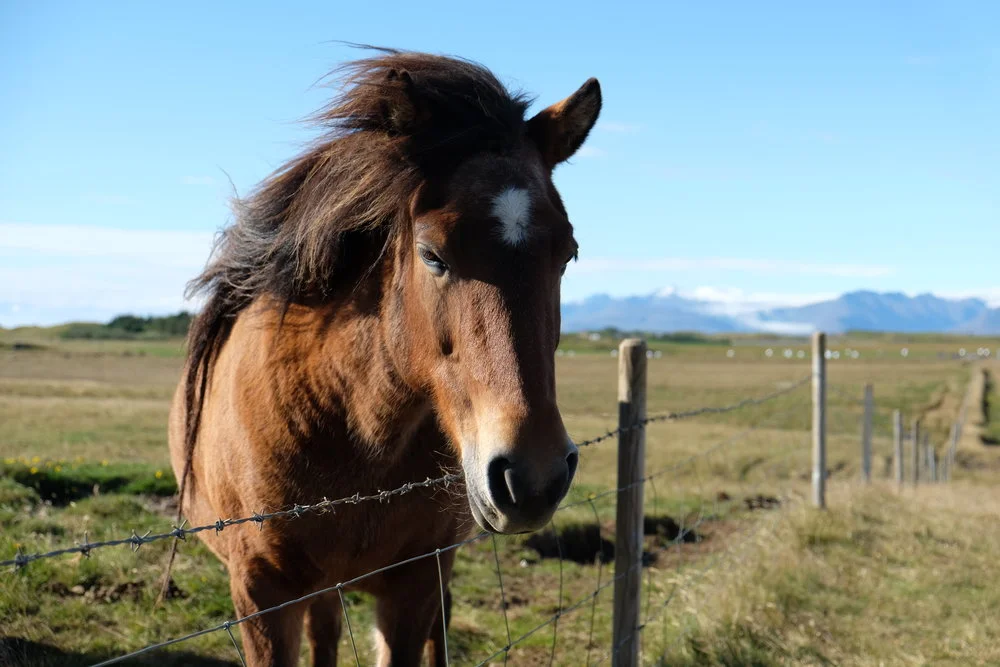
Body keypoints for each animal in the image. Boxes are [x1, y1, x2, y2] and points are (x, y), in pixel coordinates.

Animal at [168, 48, 601, 667]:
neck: (351, 426)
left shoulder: (414, 582)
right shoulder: (261, 593)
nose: (533, 476)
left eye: (567, 253)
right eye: (431, 254)